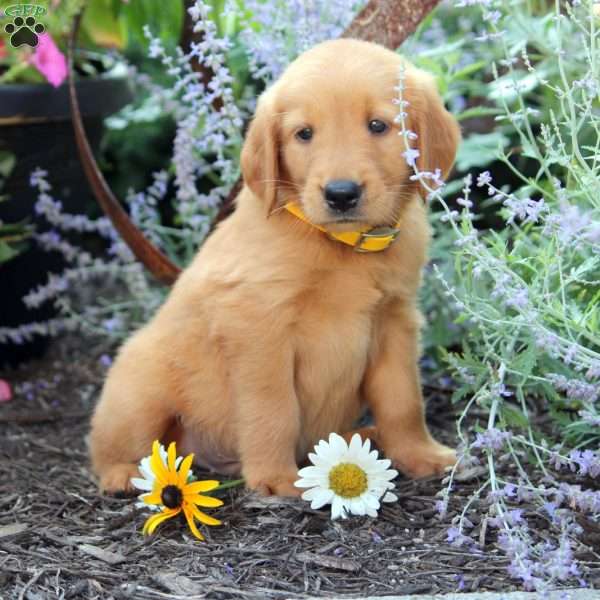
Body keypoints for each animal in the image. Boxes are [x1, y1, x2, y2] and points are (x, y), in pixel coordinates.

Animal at [90, 38, 460, 496]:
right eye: (304, 134)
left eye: (378, 125)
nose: (341, 194)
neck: (339, 245)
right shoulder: (258, 328)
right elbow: (273, 408)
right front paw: (275, 478)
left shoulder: (395, 320)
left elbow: (403, 400)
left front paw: (420, 454)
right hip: (141, 392)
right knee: (115, 446)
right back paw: (123, 474)